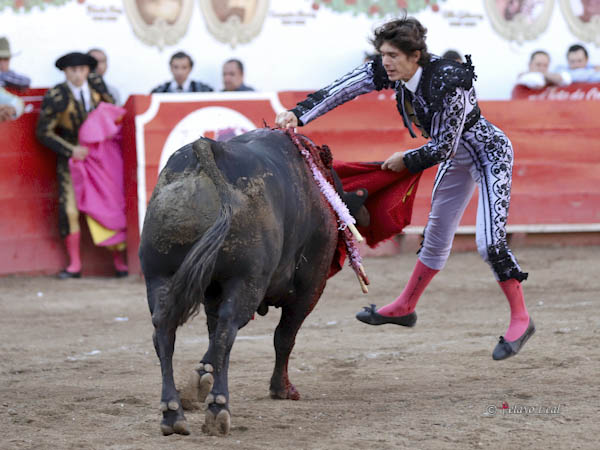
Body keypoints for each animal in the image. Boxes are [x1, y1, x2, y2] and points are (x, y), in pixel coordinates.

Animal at [139, 127, 342, 436]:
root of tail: (207, 150)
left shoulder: (212, 289)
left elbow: (210, 334)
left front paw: (200, 381)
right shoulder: (310, 287)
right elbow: (284, 336)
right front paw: (281, 389)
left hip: (158, 276)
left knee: (165, 332)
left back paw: (173, 414)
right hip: (246, 282)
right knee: (228, 329)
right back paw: (218, 409)